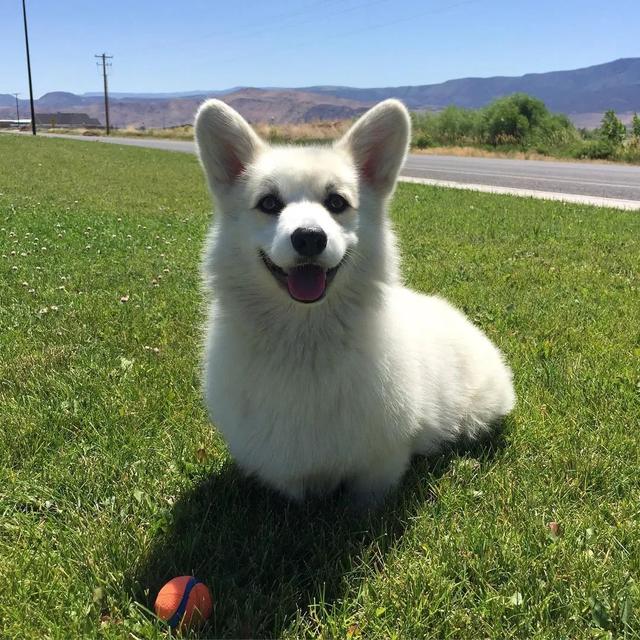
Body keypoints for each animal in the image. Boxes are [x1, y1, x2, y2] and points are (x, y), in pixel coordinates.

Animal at [195, 99, 516, 504]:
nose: (309, 237)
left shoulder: (381, 464)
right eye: (269, 203)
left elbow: (363, 502)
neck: (305, 339)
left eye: (337, 202)